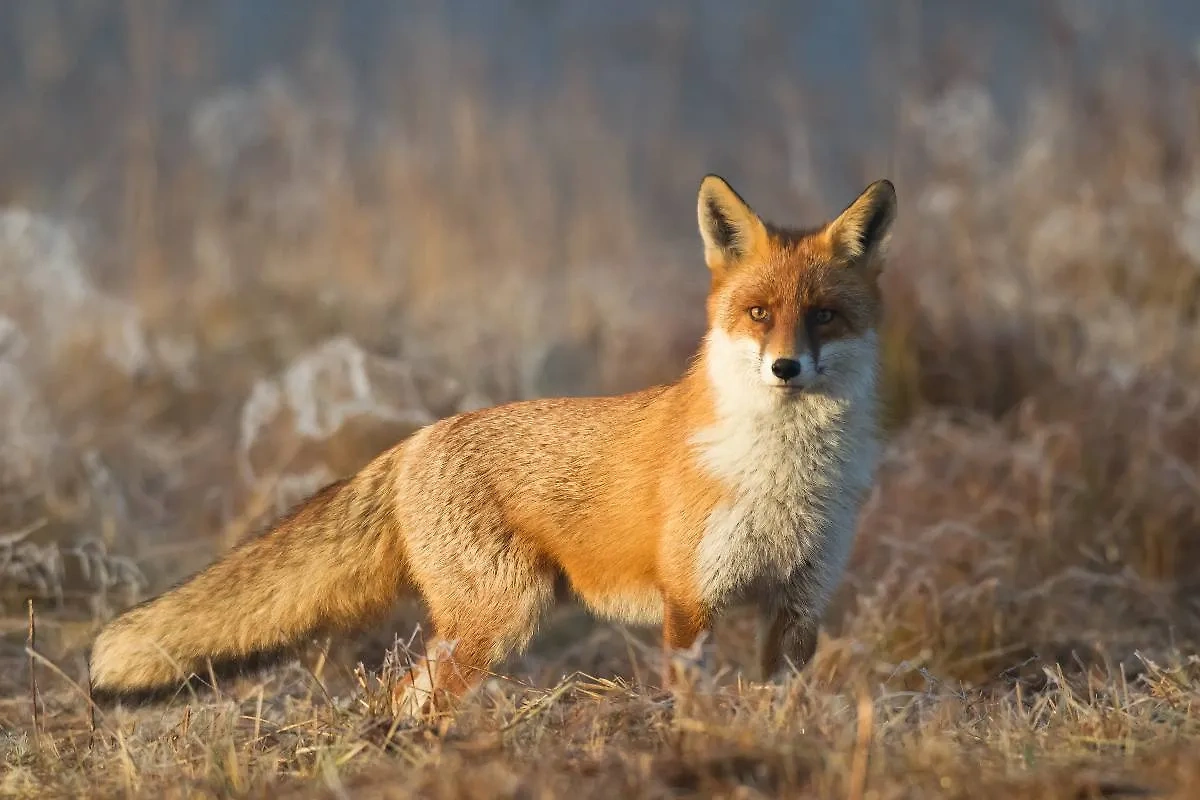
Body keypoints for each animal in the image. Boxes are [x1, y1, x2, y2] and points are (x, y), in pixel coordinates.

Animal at [88, 175, 897, 719]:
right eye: (758, 313)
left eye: (824, 316)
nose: (785, 368)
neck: (783, 478)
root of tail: (418, 439)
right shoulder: (691, 603)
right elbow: (691, 704)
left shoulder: (798, 604)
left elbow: (785, 704)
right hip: (501, 617)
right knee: (409, 696)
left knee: (405, 697)